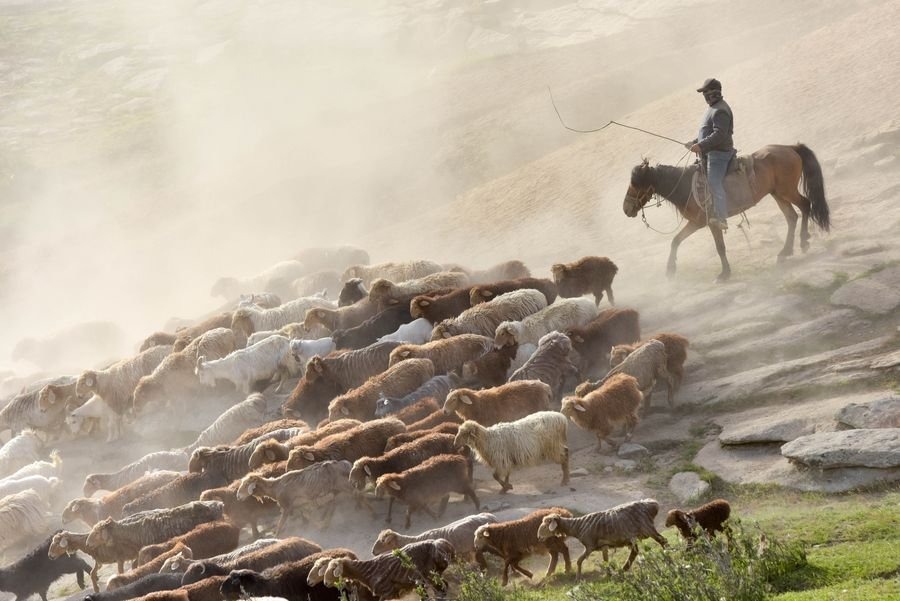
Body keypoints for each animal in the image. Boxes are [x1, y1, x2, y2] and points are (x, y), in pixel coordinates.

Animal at [624, 143, 828, 282]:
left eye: (636, 184)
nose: (626, 208)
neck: (685, 185)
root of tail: (790, 147)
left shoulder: (712, 222)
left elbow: (719, 247)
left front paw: (724, 273)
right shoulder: (696, 223)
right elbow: (676, 241)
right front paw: (670, 269)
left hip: (786, 191)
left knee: (805, 205)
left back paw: (803, 241)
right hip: (778, 193)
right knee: (792, 217)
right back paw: (785, 251)